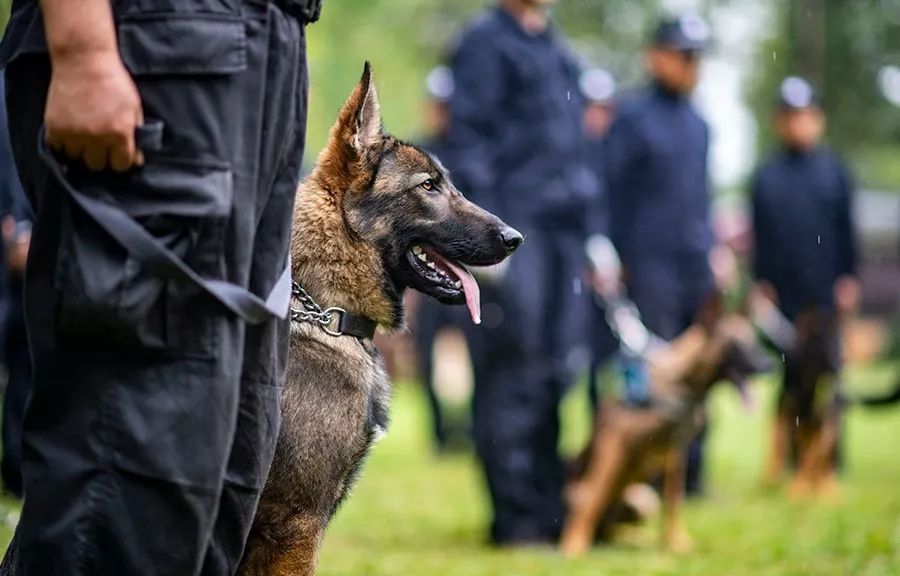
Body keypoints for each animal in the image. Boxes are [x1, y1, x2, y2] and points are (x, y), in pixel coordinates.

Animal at [564, 296, 768, 552]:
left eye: (754, 341)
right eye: (735, 345)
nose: (769, 364)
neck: (682, 384)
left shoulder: (675, 451)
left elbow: (672, 501)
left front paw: (676, 543)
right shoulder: (613, 445)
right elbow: (591, 497)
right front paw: (573, 546)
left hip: (643, 500)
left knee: (613, 532)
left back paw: (639, 538)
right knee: (593, 506)